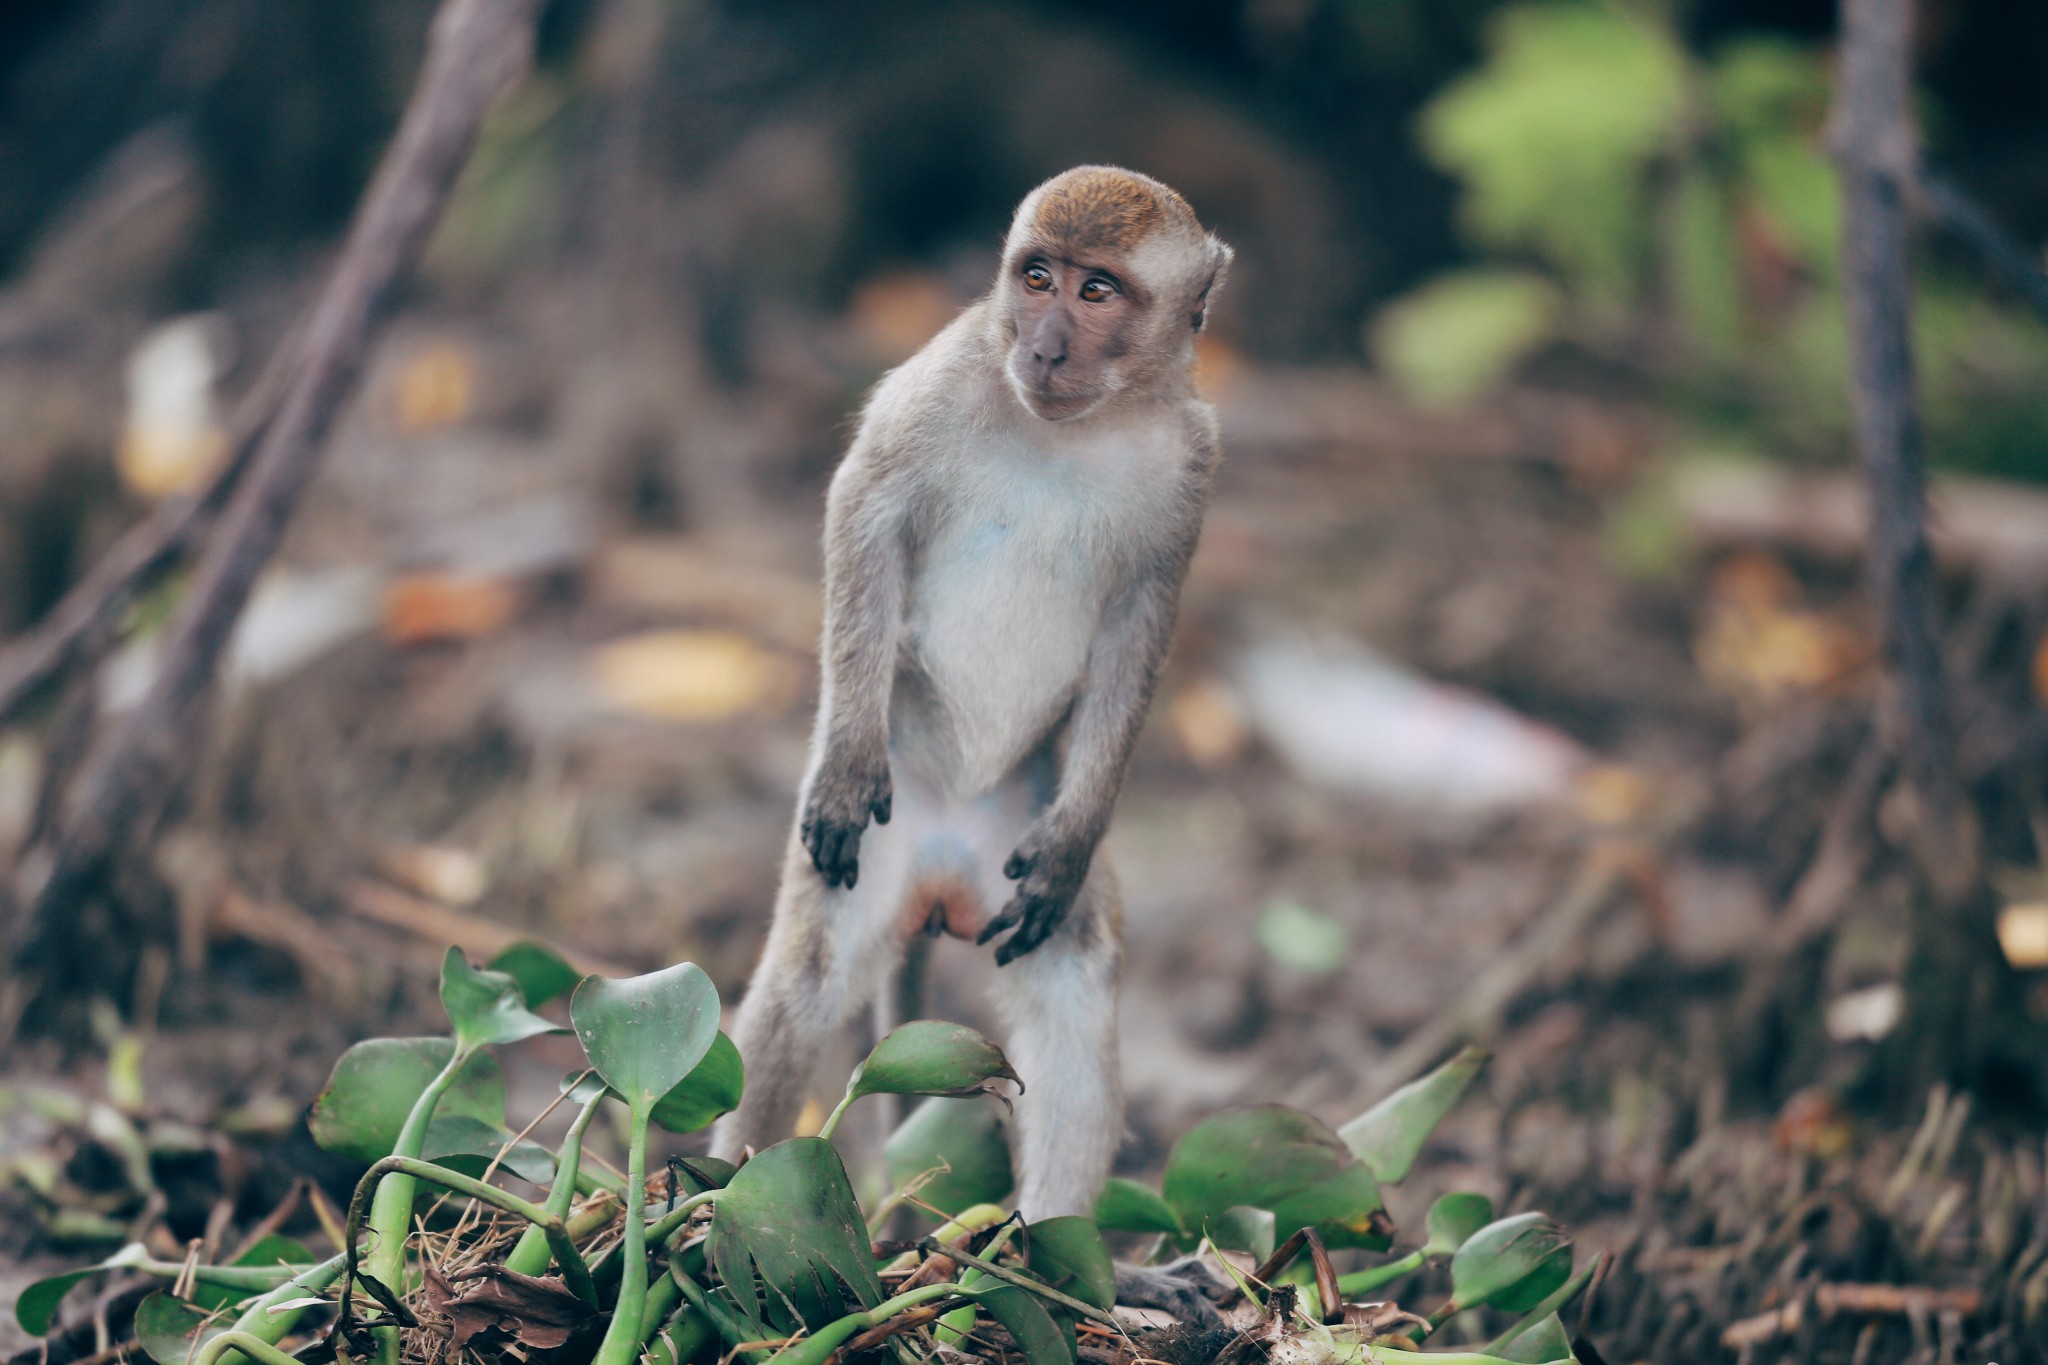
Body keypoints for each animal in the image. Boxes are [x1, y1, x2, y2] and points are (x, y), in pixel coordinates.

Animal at [712, 165, 1228, 1317]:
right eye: (1034, 276)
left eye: (1095, 289)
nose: (1042, 345)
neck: (1078, 426)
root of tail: (943, 874)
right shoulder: (942, 382)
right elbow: (862, 510)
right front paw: (846, 756)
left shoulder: (1191, 463)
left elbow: (1141, 628)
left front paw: (1081, 829)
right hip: (882, 845)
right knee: (807, 982)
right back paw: (713, 1215)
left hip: (1009, 850)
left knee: (1072, 981)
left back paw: (1069, 1262)